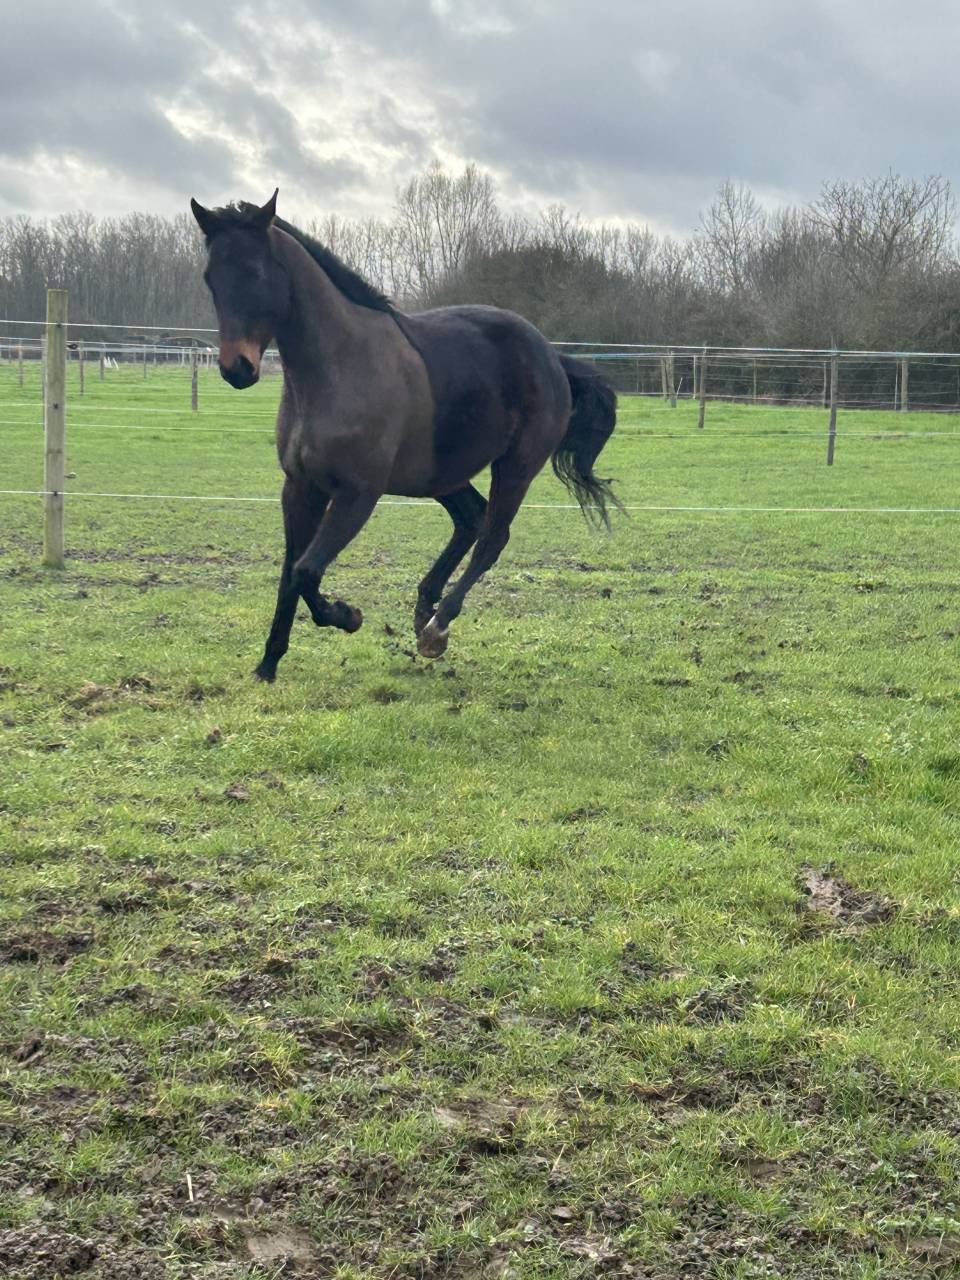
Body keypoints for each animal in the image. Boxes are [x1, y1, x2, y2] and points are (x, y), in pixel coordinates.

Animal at [190, 190, 621, 682]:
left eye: (258, 272)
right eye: (211, 278)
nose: (236, 369)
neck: (337, 366)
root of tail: (552, 356)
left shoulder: (357, 495)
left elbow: (305, 571)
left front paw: (347, 616)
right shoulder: (299, 489)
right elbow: (289, 573)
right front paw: (268, 663)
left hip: (516, 468)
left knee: (492, 538)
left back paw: (436, 627)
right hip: (442, 474)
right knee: (471, 520)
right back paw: (423, 610)